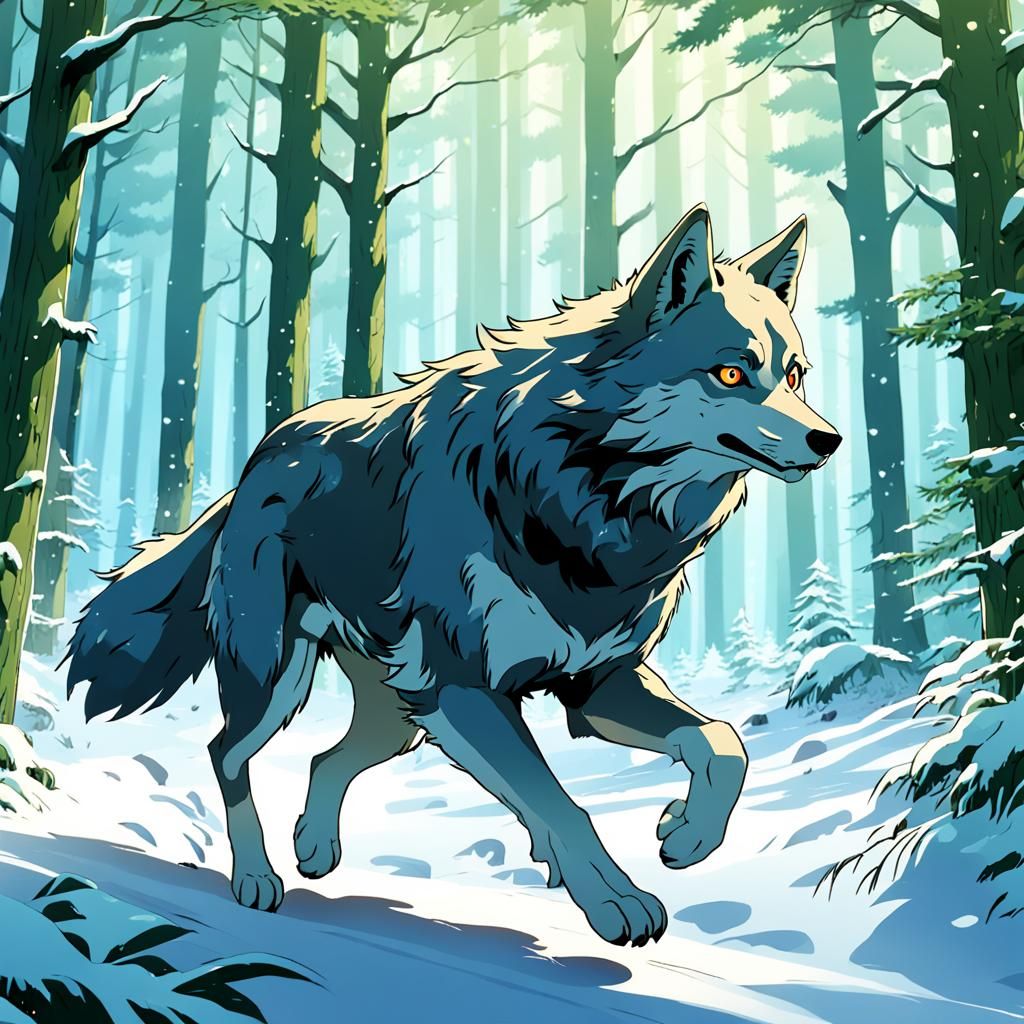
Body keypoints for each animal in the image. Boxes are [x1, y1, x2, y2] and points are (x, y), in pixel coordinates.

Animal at [67, 205, 840, 946]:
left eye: (796, 374)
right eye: (733, 373)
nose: (829, 439)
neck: (584, 496)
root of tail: (259, 457)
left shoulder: (596, 684)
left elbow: (724, 744)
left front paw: (686, 836)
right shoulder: (467, 687)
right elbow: (562, 804)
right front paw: (615, 900)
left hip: (399, 715)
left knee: (324, 758)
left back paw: (314, 849)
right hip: (280, 679)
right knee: (226, 753)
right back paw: (256, 879)